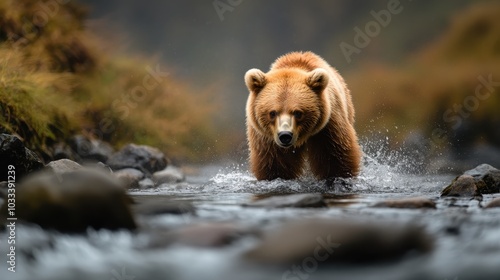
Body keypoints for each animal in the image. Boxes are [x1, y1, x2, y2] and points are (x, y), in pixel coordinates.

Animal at [244, 51, 362, 180]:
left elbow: (335, 158)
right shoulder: (267, 139)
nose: (285, 135)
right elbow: (275, 165)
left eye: (298, 113)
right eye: (272, 113)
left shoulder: (327, 128)